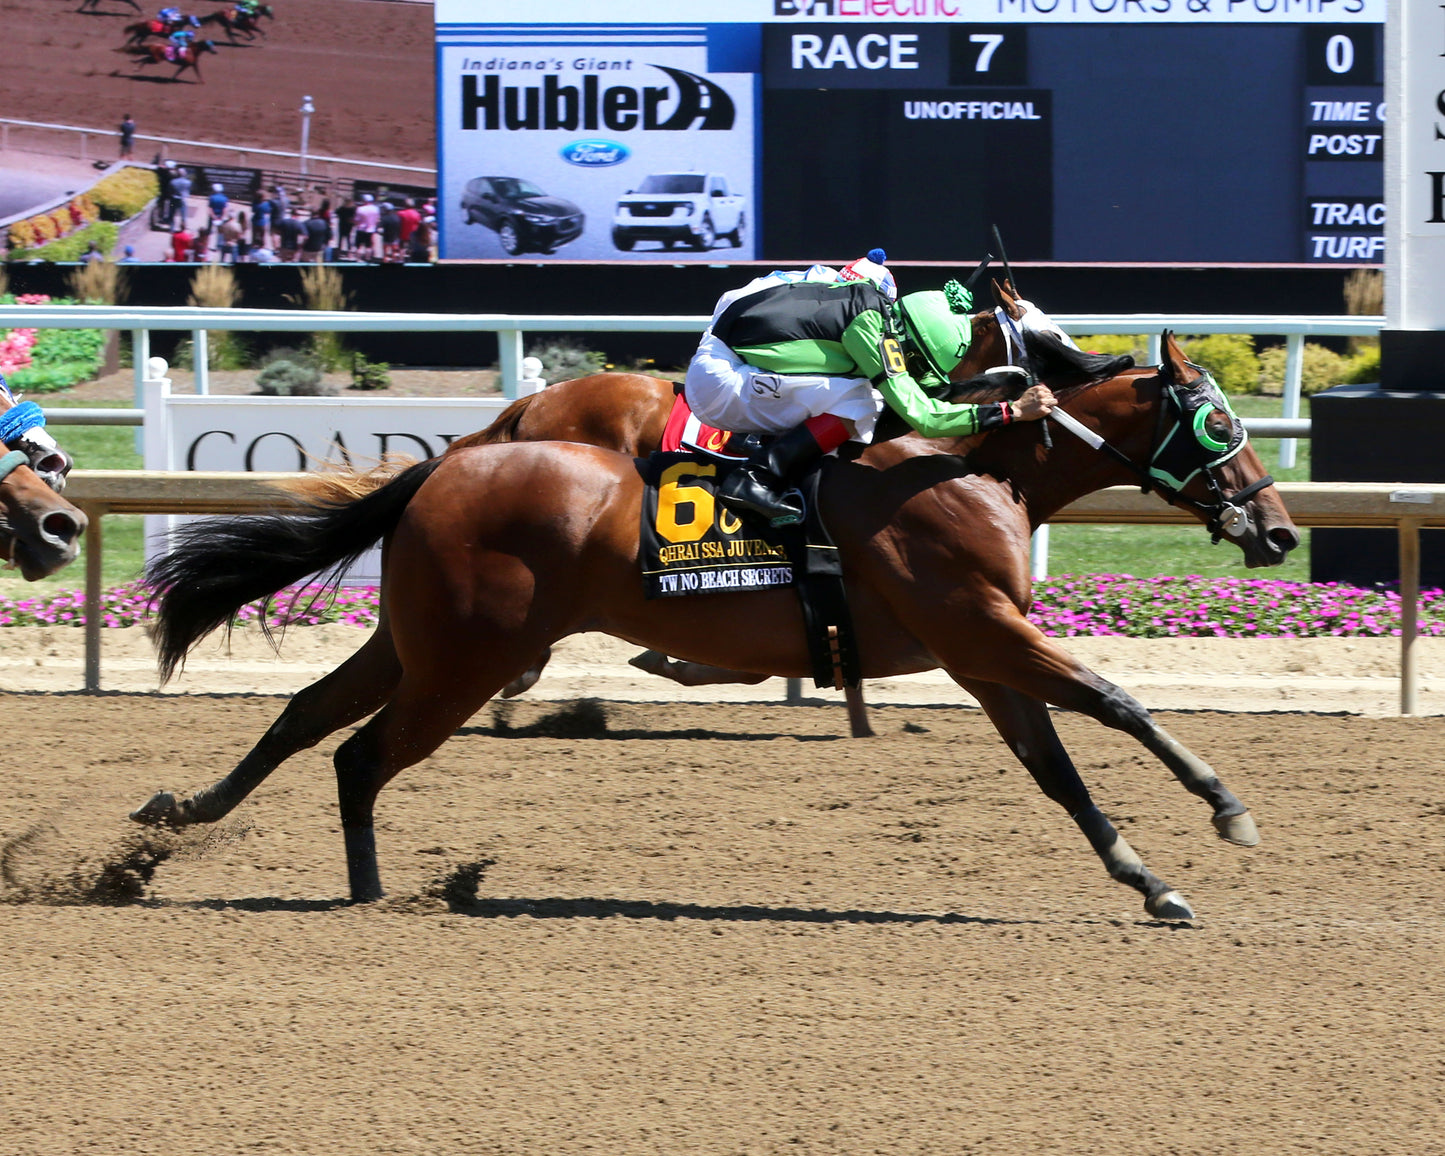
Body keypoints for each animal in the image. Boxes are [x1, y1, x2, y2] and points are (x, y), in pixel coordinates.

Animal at [134, 332, 1299, 920]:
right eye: (1218, 422)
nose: (1278, 530)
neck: (969, 468)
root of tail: (454, 460)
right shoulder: (984, 629)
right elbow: (1116, 702)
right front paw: (1227, 810)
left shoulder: (981, 654)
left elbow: (1055, 770)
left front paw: (1147, 879)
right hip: (466, 658)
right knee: (361, 753)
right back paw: (371, 896)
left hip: (420, 641)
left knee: (306, 719)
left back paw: (165, 831)